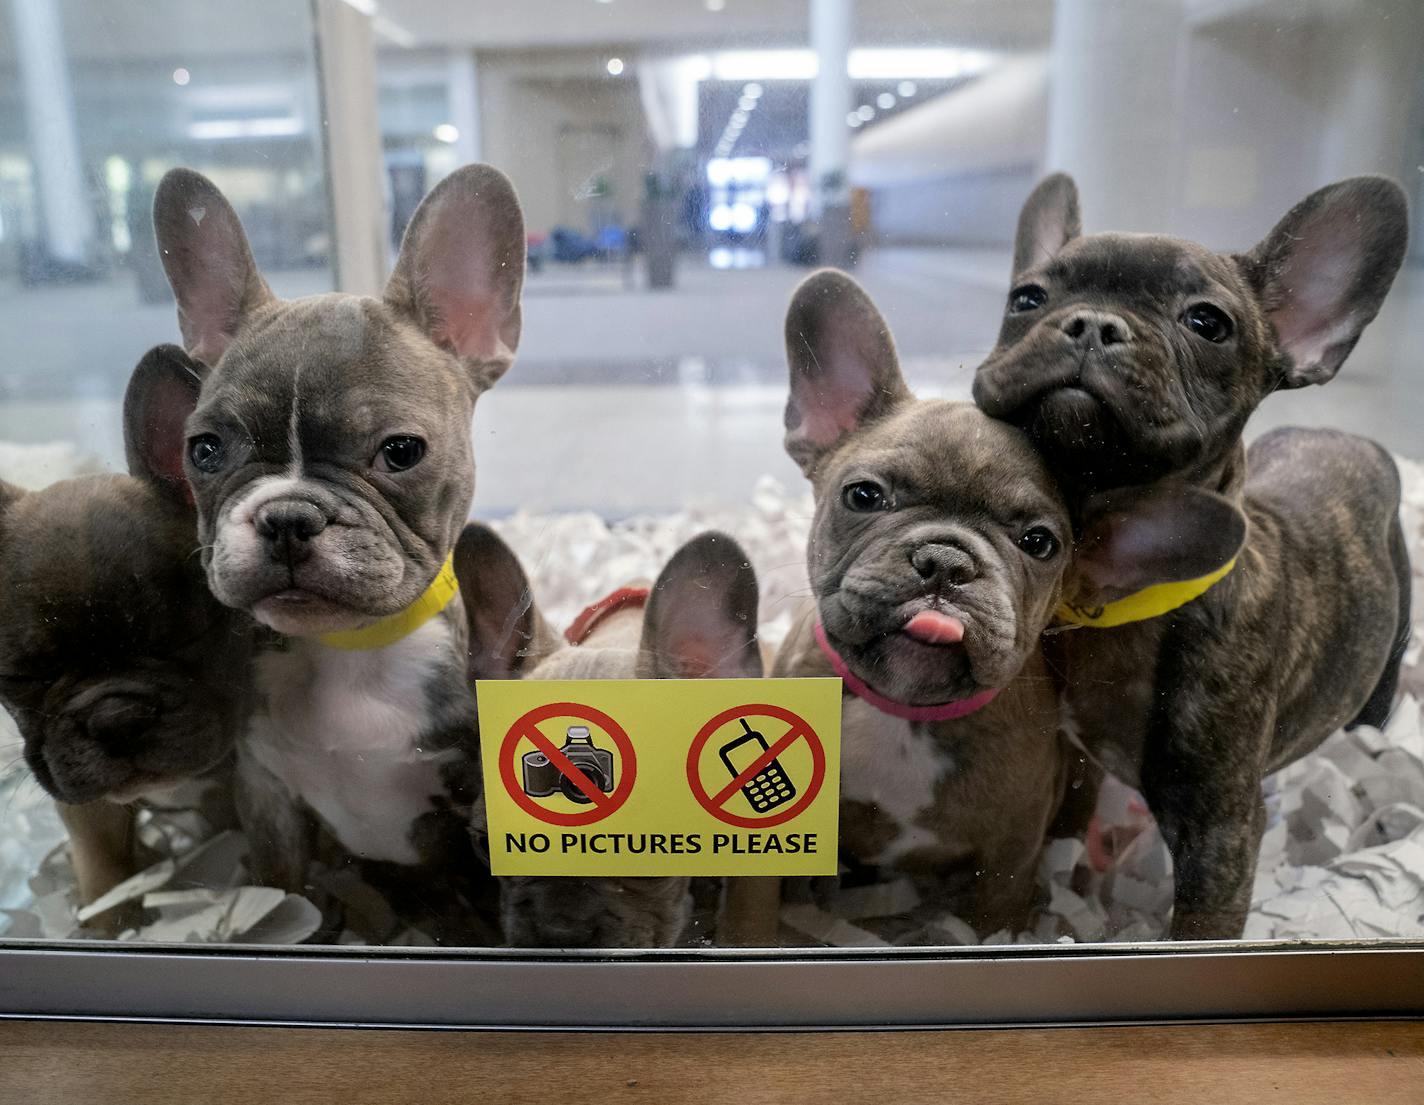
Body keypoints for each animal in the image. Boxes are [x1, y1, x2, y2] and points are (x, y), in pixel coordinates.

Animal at [0, 344, 250, 922]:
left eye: (190, 634)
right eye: (22, 676)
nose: (116, 718)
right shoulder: (88, 808)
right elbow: (106, 873)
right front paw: (111, 922)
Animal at [148, 163, 524, 899]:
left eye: (401, 452)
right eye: (204, 450)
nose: (288, 516)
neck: (347, 649)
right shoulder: (267, 796)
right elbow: (283, 890)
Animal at [768, 271, 1076, 934]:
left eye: (1039, 542)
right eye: (863, 495)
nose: (946, 561)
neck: (903, 711)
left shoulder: (1011, 853)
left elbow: (993, 918)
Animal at [974, 177, 1406, 934]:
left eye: (1207, 322)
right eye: (1026, 298)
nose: (1092, 322)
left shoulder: (1219, 834)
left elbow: (1203, 926)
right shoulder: (1078, 759)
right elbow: (1064, 832)